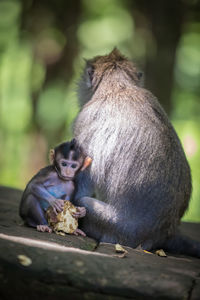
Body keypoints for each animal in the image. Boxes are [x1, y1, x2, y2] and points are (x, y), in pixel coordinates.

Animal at [74, 48, 200, 256]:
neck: (118, 86)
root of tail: (166, 233)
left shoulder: (86, 121)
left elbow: (81, 184)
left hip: (117, 229)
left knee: (84, 203)